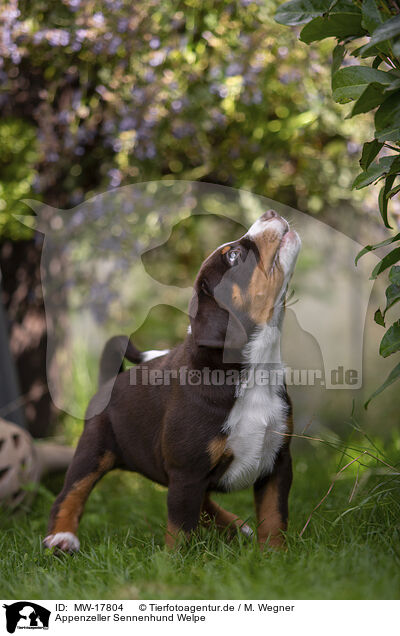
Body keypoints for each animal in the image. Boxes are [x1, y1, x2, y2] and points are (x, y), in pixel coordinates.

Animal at [43, 209, 300, 552]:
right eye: (233, 255)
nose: (269, 212)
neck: (251, 369)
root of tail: (111, 379)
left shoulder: (277, 460)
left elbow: (274, 516)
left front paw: (274, 555)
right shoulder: (187, 470)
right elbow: (180, 527)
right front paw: (176, 561)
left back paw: (237, 527)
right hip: (94, 449)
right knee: (71, 492)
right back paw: (62, 537)